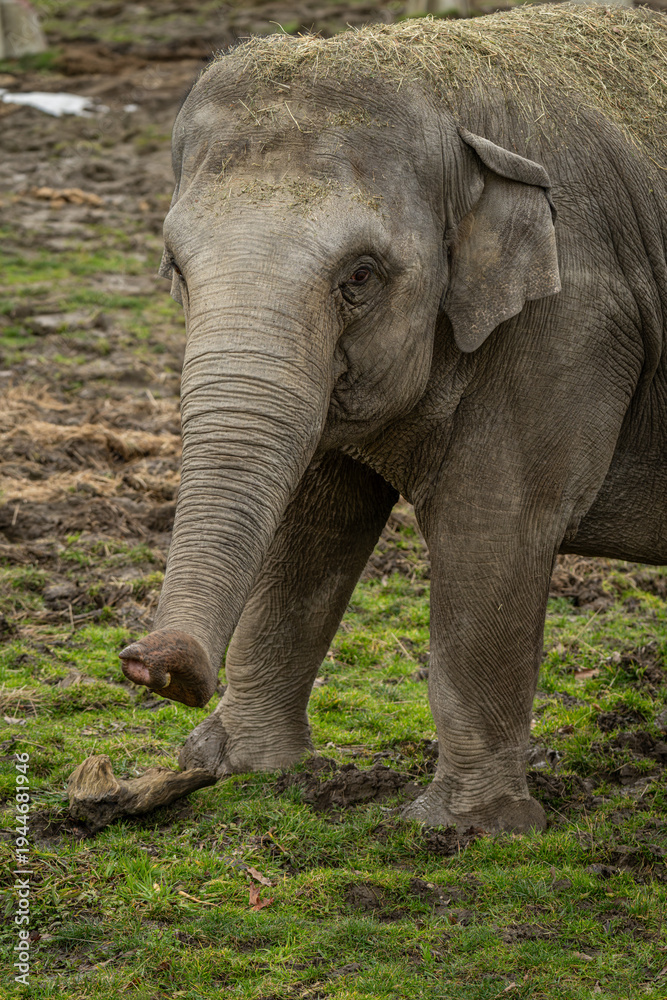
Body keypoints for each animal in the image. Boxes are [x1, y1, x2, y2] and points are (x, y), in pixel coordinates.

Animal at [118, 6, 667, 833]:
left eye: (360, 277)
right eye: (176, 268)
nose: (154, 663)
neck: (453, 98)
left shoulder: (572, 320)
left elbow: (493, 530)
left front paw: (464, 830)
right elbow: (313, 521)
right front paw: (236, 766)